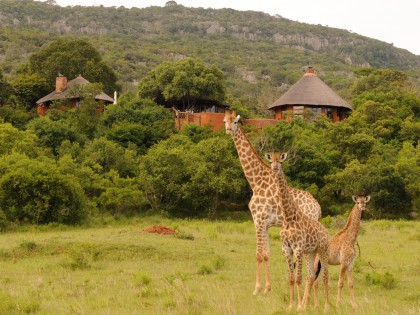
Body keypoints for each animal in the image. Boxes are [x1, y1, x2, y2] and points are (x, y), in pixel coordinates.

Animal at [264, 152, 330, 312]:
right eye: (271, 161)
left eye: (281, 161)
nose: (275, 168)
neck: (289, 218)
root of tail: (327, 232)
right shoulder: (286, 249)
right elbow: (291, 278)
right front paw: (291, 305)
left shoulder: (298, 248)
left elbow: (299, 278)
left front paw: (299, 306)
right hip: (312, 252)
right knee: (312, 276)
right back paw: (313, 305)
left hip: (323, 250)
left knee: (325, 276)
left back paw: (326, 306)